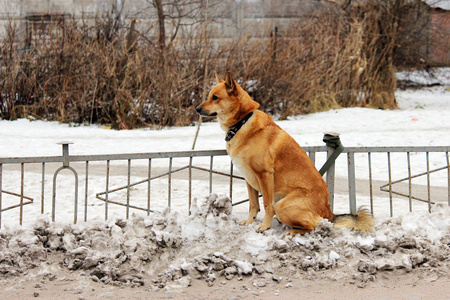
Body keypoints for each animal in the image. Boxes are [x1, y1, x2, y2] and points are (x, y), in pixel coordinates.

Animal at [195, 72, 374, 234]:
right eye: (210, 96)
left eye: (215, 97)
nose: (196, 108)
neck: (242, 122)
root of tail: (329, 212)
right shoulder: (249, 178)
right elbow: (253, 204)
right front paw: (249, 221)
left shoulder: (265, 175)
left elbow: (266, 205)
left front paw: (264, 226)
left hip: (281, 206)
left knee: (313, 226)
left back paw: (291, 232)